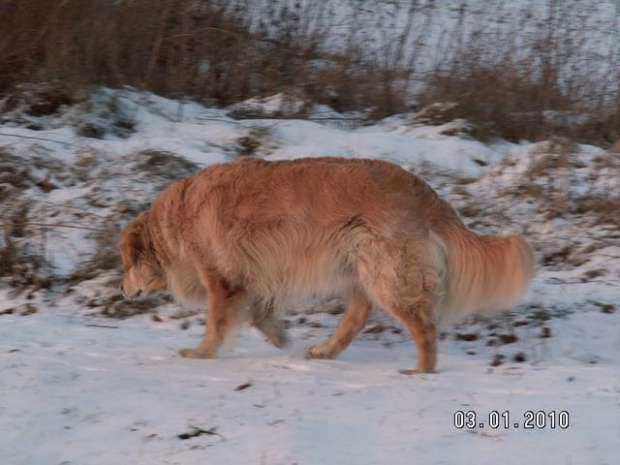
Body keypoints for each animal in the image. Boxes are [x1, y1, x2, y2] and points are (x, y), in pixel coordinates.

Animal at [120, 158, 532, 372]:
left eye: (126, 263)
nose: (122, 290)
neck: (178, 219)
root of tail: (428, 196)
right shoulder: (258, 277)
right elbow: (260, 315)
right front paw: (280, 338)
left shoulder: (222, 279)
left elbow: (217, 323)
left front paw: (200, 354)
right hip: (361, 268)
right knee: (356, 317)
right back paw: (325, 351)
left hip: (385, 272)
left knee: (423, 327)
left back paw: (421, 371)